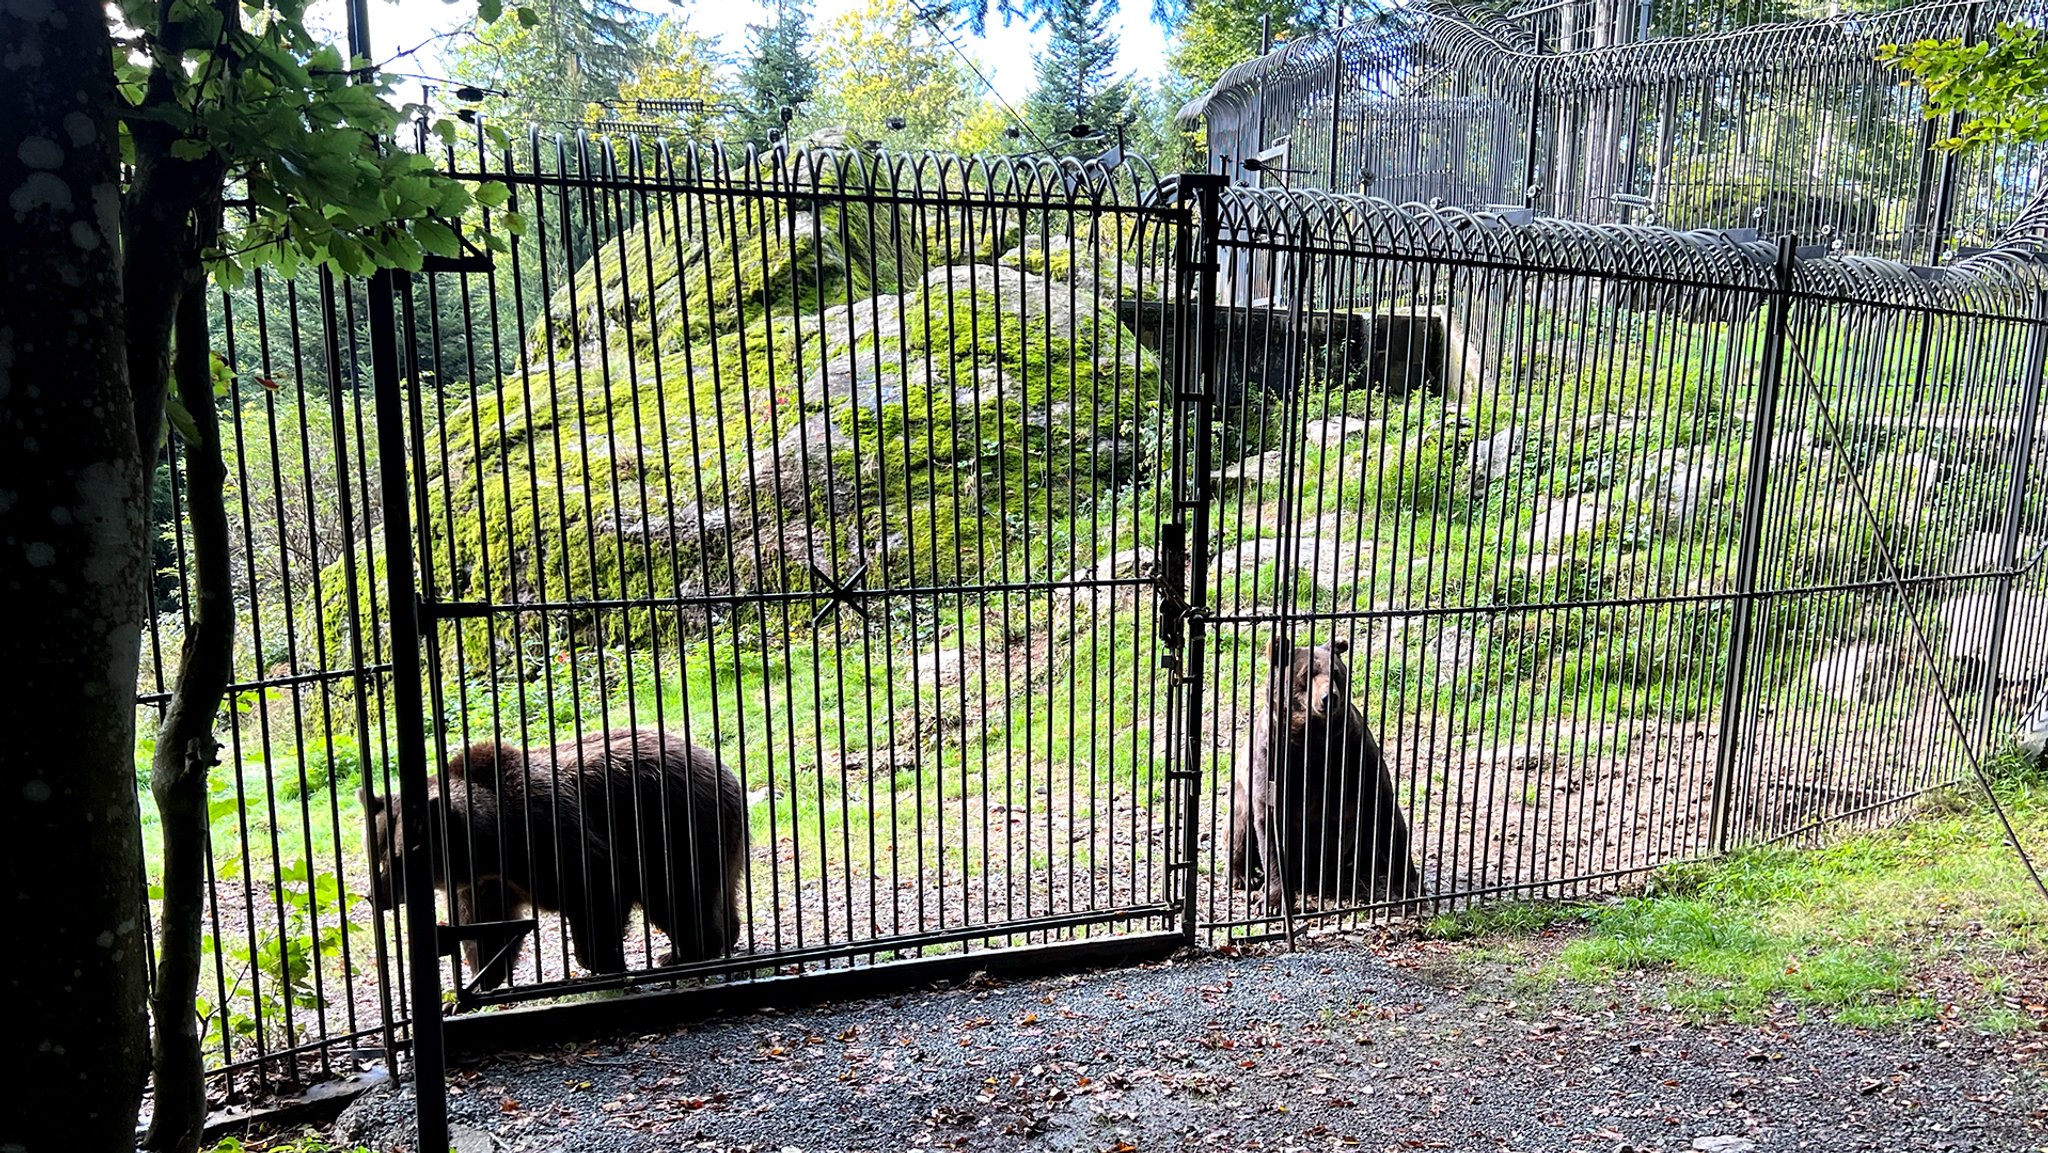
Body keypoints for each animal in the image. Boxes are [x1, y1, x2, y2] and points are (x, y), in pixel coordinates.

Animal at [368, 729, 753, 991]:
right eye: (379, 853)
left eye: (399, 858)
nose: (377, 894)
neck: (493, 847)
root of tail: (722, 765)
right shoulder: (488, 883)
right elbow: (485, 925)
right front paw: (481, 979)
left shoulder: (554, 836)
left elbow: (596, 892)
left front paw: (601, 960)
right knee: (718, 890)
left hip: (674, 826)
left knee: (677, 896)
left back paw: (681, 952)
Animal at [1228, 634, 1425, 917]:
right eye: (1306, 674)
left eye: (1336, 673)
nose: (1328, 697)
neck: (1313, 740)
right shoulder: (1274, 760)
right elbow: (1271, 828)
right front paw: (1272, 901)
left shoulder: (1353, 756)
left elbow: (1386, 812)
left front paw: (1407, 883)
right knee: (1240, 825)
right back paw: (1244, 876)